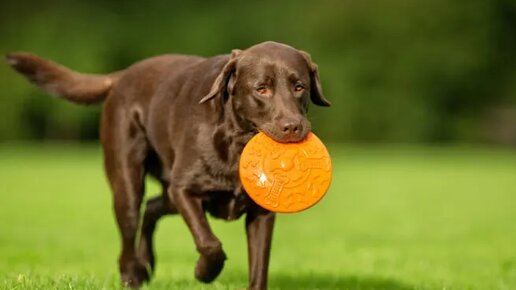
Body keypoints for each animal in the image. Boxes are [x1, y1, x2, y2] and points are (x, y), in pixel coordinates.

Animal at [6, 41, 330, 290]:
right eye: (262, 89)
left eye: (299, 87)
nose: (293, 127)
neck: (237, 141)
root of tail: (123, 75)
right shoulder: (185, 190)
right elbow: (209, 244)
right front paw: (204, 272)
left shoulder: (261, 213)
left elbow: (259, 266)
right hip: (129, 182)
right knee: (130, 229)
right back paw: (134, 274)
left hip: (167, 191)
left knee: (151, 208)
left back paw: (147, 262)